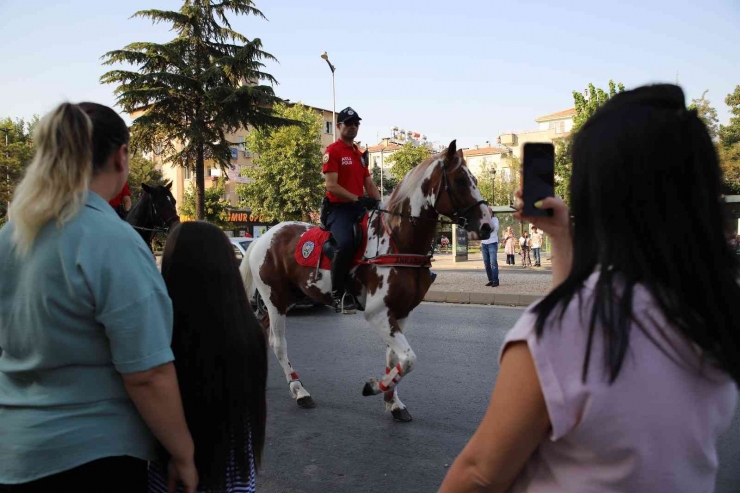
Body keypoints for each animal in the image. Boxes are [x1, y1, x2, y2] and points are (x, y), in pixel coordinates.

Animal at [240, 140, 494, 420]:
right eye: (460, 180)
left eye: (475, 179)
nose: (487, 225)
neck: (398, 240)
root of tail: (265, 236)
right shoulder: (377, 313)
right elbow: (409, 359)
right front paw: (374, 387)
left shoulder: (401, 311)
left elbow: (394, 359)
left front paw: (393, 401)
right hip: (275, 299)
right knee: (278, 343)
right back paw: (299, 390)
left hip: (290, 297)